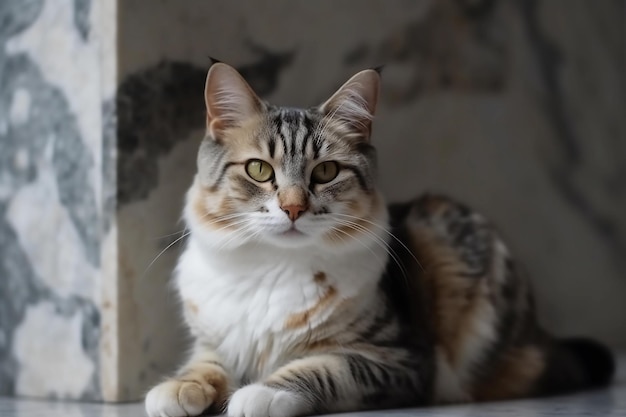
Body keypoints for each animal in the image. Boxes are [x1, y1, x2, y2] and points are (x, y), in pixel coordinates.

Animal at [144, 62, 612, 416]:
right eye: (259, 170)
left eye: (325, 172)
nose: (293, 209)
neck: (272, 269)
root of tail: (540, 334)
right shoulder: (215, 340)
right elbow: (206, 365)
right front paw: (178, 389)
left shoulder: (399, 358)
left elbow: (323, 368)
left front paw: (262, 392)